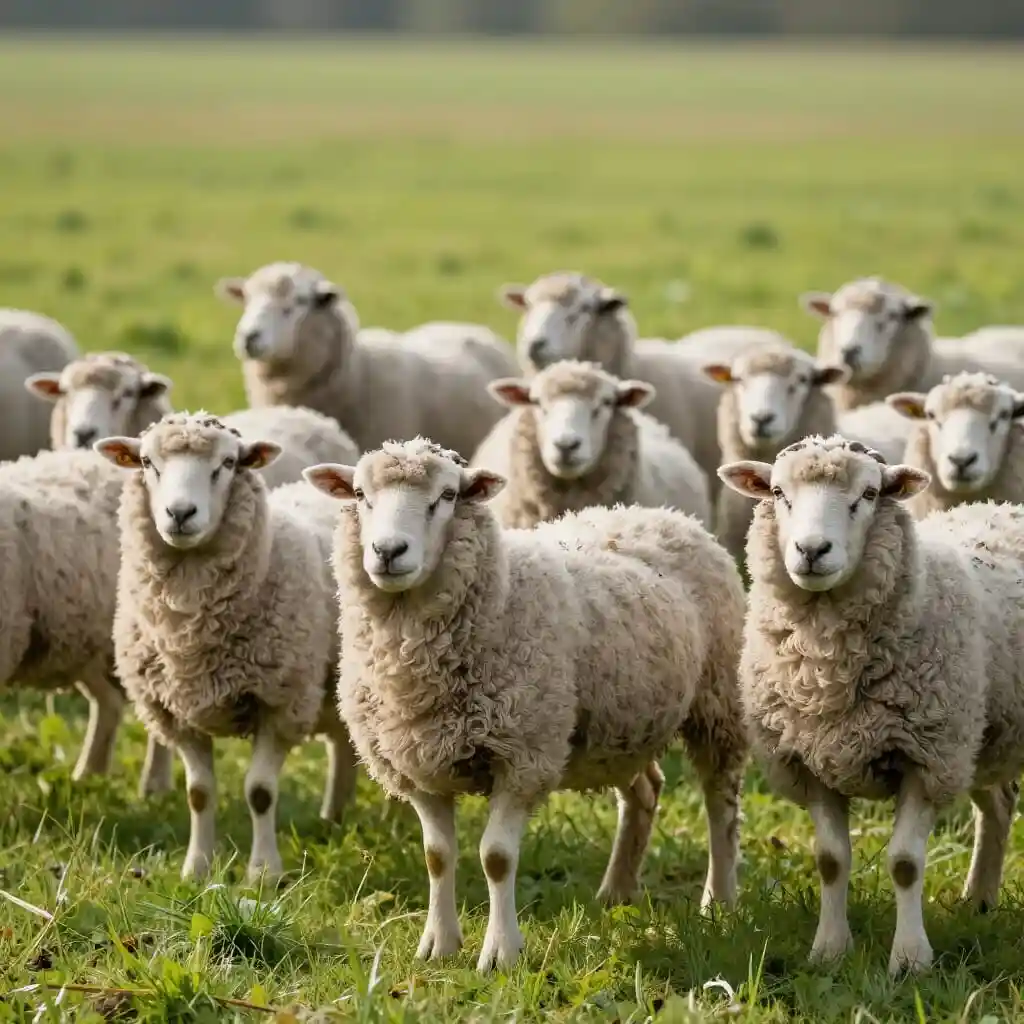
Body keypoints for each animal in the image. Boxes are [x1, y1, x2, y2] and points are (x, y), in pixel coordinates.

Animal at [95, 412, 359, 882]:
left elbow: (260, 792)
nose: (180, 513)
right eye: (146, 461)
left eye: (229, 463)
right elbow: (199, 793)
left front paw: (265, 873)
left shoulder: (280, 703)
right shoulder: (176, 711)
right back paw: (333, 818)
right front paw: (196, 868)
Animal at [304, 437, 748, 972]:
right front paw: (438, 945)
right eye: (359, 493)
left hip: (716, 703)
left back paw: (719, 903)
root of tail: (665, 515)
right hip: (619, 725)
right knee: (645, 790)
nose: (388, 552)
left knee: (721, 805)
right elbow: (436, 855)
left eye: (447, 495)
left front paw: (501, 953)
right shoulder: (418, 765)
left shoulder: (523, 757)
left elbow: (496, 857)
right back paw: (616, 891)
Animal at [718, 434, 1024, 975]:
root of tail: (1003, 506)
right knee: (999, 804)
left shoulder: (925, 758)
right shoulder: (811, 762)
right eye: (777, 492)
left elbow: (905, 863)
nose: (812, 550)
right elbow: (830, 860)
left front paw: (910, 959)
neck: (827, 673)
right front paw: (829, 951)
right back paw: (979, 900)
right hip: (978, 737)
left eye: (868, 494)